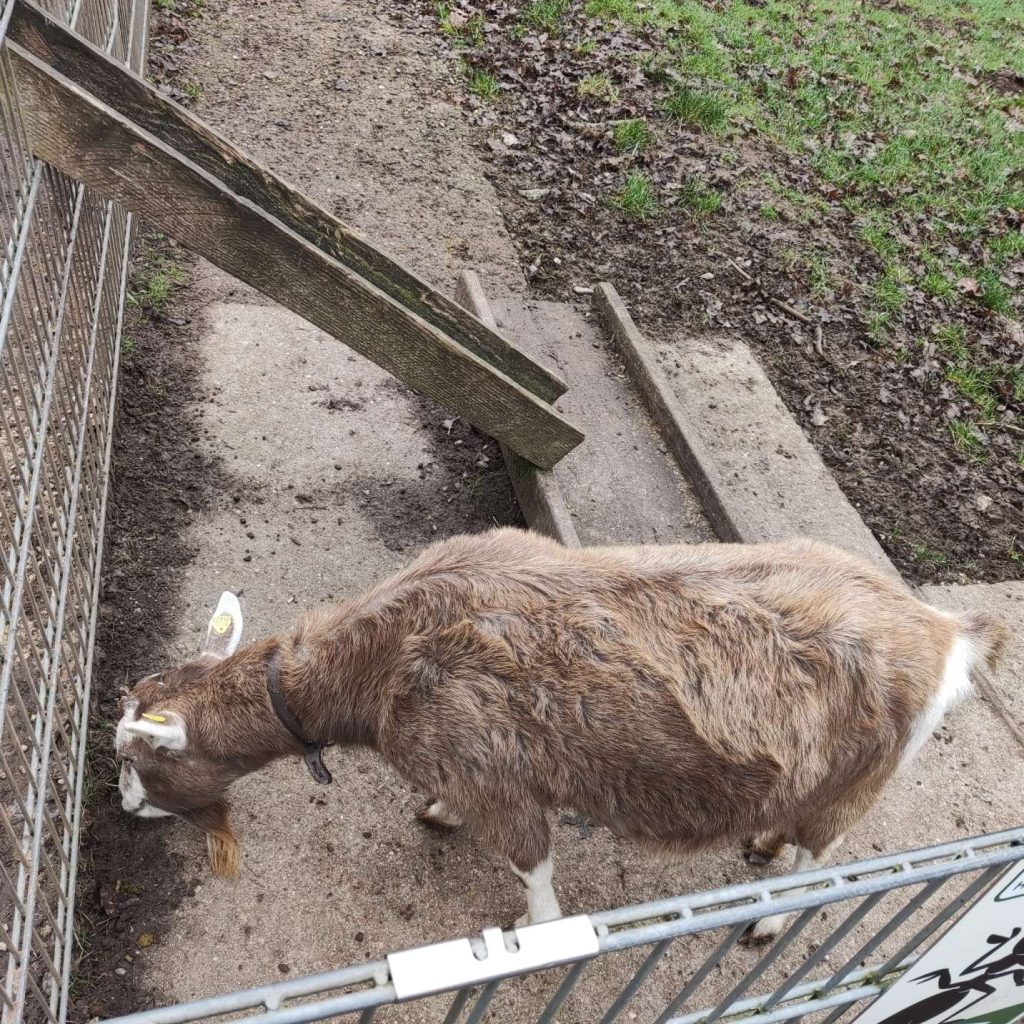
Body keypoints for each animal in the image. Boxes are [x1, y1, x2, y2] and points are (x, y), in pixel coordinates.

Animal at [115, 528, 1007, 939]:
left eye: (134, 758)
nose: (122, 812)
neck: (383, 653)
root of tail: (943, 630)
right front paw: (437, 813)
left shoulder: (495, 776)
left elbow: (533, 873)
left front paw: (537, 932)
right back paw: (761, 843)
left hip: (861, 779)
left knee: (824, 853)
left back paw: (769, 917)